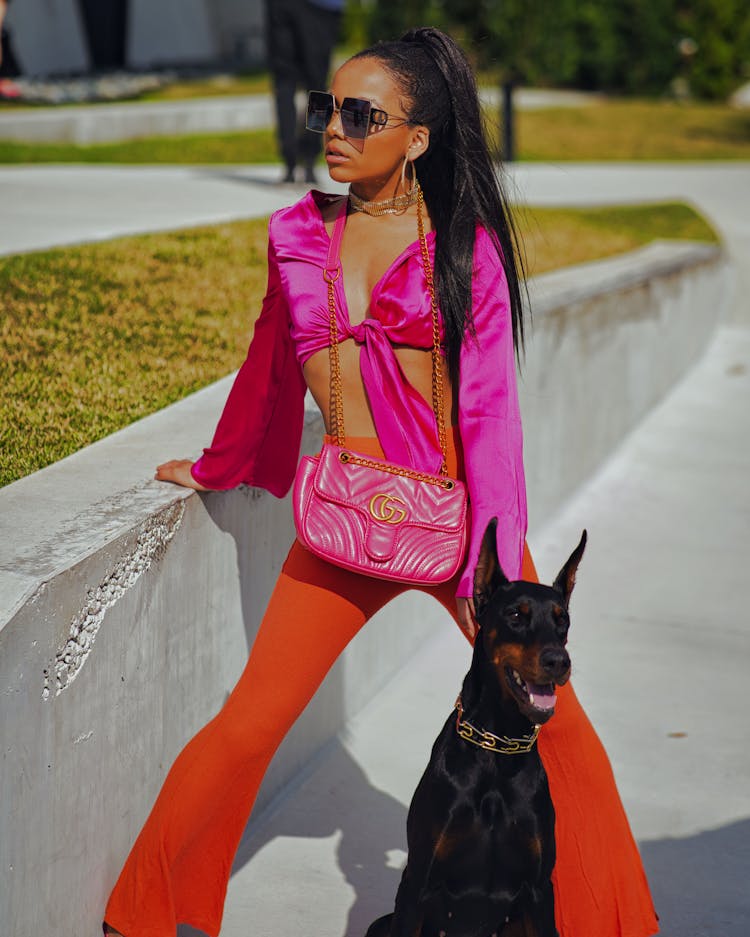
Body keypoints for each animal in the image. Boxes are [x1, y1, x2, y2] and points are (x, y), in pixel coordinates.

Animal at [368, 520, 592, 936]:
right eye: (516, 615)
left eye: (562, 620)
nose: (559, 661)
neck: (496, 750)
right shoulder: (416, 882)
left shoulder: (539, 890)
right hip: (382, 922)